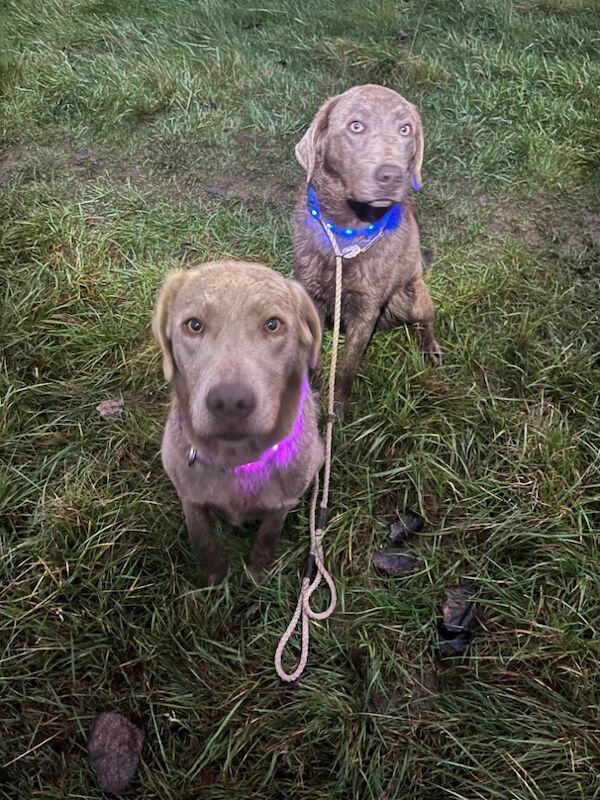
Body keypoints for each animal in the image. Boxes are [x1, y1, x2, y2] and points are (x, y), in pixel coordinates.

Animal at [294, 84, 440, 416]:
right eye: (356, 126)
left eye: (405, 129)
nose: (391, 176)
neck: (347, 233)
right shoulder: (312, 297)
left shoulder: (366, 308)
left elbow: (348, 365)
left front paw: (336, 410)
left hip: (411, 297)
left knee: (429, 317)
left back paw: (431, 347)